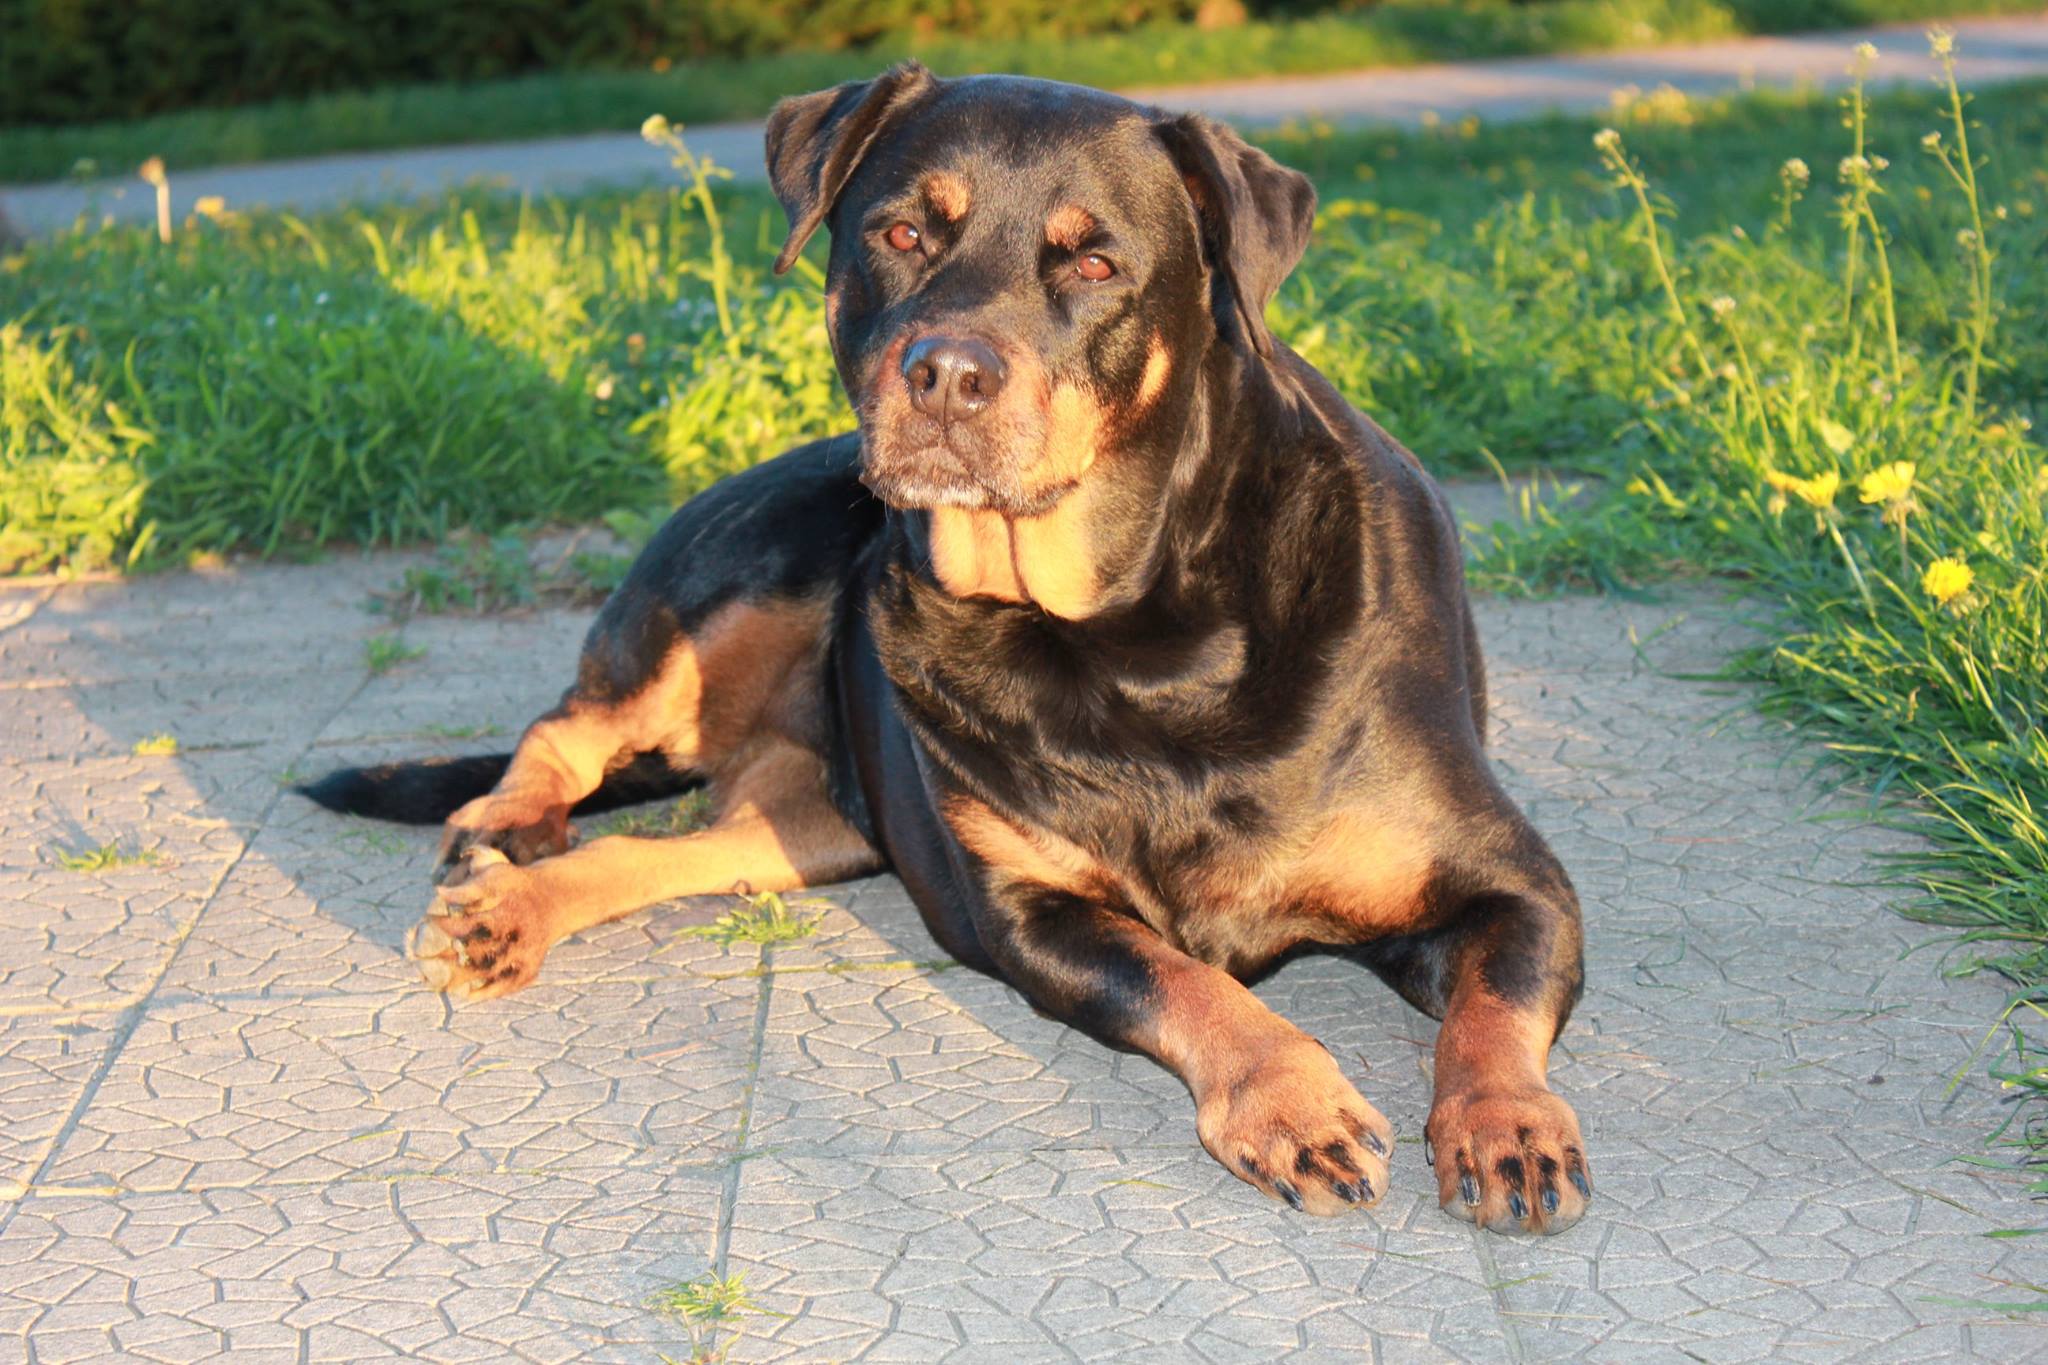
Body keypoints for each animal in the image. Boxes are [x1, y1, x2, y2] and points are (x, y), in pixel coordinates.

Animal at [303, 63, 1589, 1236]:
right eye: (901, 232)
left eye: (1094, 262)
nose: (948, 374)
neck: (1132, 627)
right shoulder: (1023, 913)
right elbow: (1187, 981)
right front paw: (1289, 1098)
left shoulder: (1511, 882)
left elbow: (1493, 1004)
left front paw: (1505, 1124)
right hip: (741, 582)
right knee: (567, 726)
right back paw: (505, 841)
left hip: (820, 823)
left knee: (678, 846)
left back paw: (513, 908)